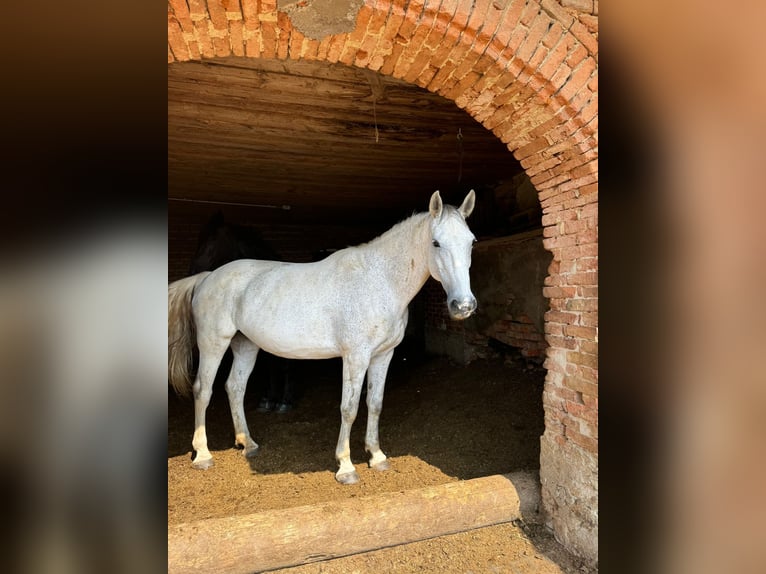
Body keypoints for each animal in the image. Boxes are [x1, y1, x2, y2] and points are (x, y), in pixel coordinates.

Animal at [190, 212, 296, 414]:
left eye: (210, 244)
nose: (193, 272)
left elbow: (282, 365)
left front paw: (283, 400)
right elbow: (267, 366)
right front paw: (267, 398)